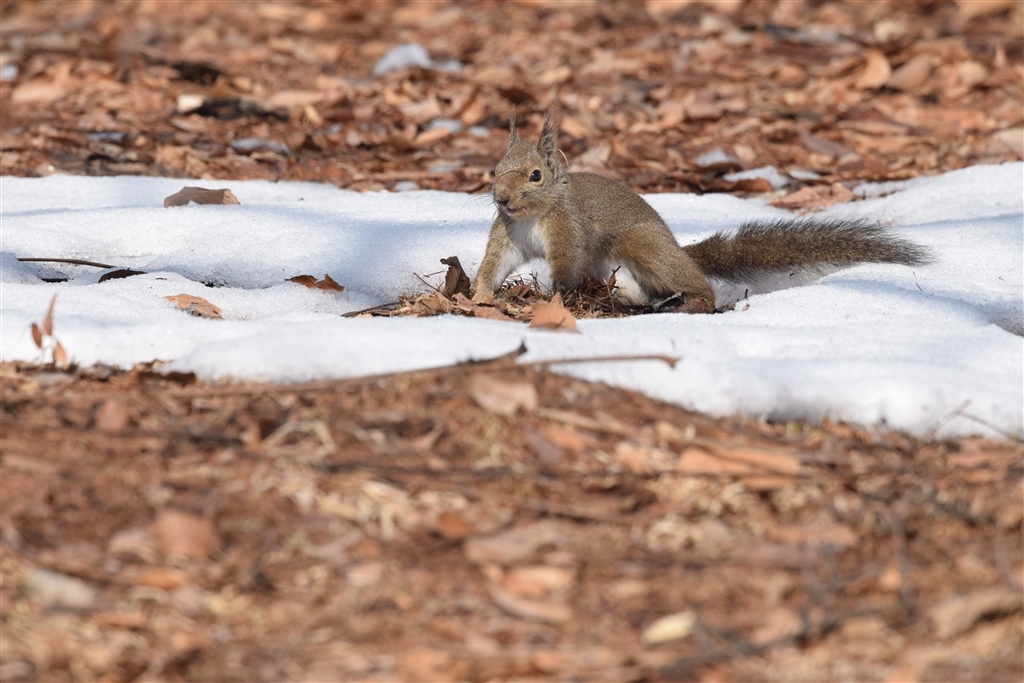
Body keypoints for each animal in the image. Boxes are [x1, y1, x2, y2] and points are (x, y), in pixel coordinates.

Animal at [471, 111, 929, 313]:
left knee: (702, 288)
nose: (501, 199)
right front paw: (476, 296)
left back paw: (691, 301)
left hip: (642, 244)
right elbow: (493, 266)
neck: (530, 218)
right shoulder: (508, 238)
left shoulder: (569, 233)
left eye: (535, 175)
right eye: (495, 169)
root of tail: (680, 251)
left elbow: (567, 268)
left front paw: (550, 299)